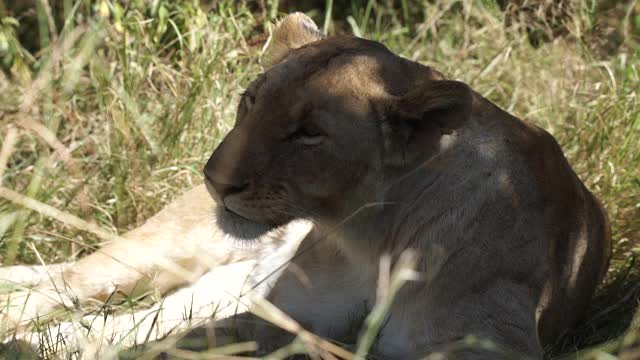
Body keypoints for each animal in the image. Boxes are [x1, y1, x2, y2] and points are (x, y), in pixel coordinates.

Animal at [1, 12, 608, 358]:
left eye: (308, 132)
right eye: (250, 102)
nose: (214, 180)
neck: (371, 236)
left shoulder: (490, 343)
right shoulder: (279, 312)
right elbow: (179, 342)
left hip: (209, 287)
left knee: (113, 321)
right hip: (160, 255)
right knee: (62, 288)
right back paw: (19, 332)